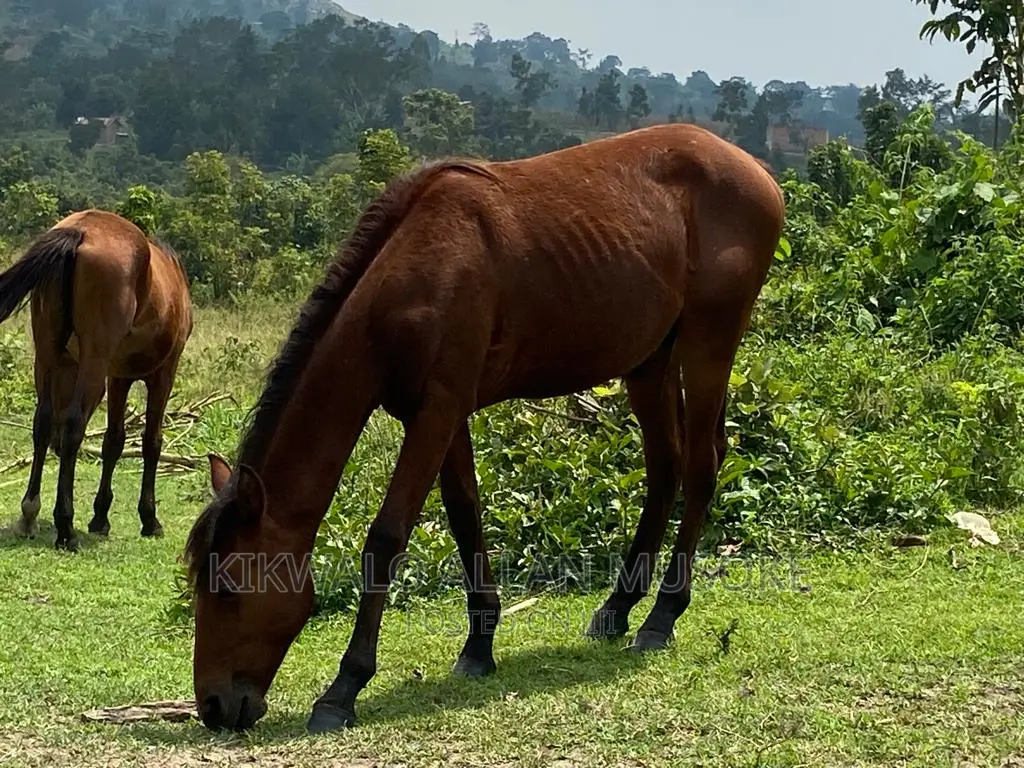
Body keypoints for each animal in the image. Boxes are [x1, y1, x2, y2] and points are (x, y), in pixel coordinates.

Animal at [0, 209, 193, 551]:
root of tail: (80, 231)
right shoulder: (163, 375)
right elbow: (151, 442)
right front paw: (149, 519)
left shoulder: (117, 377)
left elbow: (113, 441)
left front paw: (100, 518)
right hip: (94, 362)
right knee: (73, 426)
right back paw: (66, 528)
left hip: (47, 356)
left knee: (42, 423)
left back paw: (29, 513)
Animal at [184, 122, 785, 734]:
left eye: (228, 587)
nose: (214, 706)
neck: (410, 281)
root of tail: (753, 169)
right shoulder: (440, 415)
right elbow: (464, 518)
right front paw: (478, 647)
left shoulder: (437, 411)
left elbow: (388, 536)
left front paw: (343, 687)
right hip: (650, 360)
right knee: (665, 468)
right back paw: (617, 609)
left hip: (710, 340)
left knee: (702, 466)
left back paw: (662, 616)